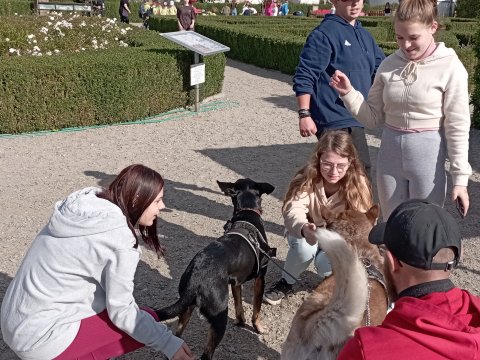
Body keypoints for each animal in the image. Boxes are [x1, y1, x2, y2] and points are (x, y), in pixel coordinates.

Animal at [156, 179, 276, 358]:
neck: (246, 213)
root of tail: (195, 278)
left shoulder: (236, 282)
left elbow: (239, 304)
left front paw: (240, 321)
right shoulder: (260, 277)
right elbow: (257, 308)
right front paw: (259, 327)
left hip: (187, 308)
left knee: (177, 338)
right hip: (219, 317)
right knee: (207, 354)